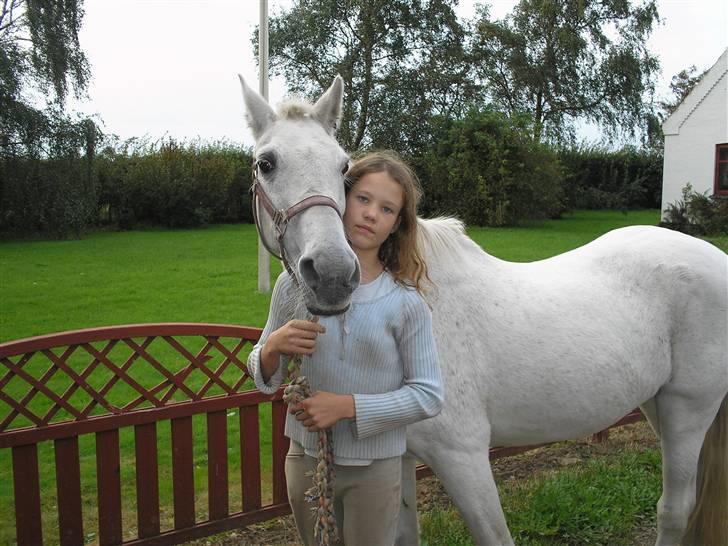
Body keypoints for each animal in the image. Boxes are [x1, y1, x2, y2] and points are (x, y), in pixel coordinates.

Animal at [238, 75, 728, 546]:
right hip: (657, 403)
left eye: (342, 166)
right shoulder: (399, 457)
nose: (332, 273)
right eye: (267, 163)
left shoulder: (463, 456)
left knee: (675, 508)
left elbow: (494, 534)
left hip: (690, 407)